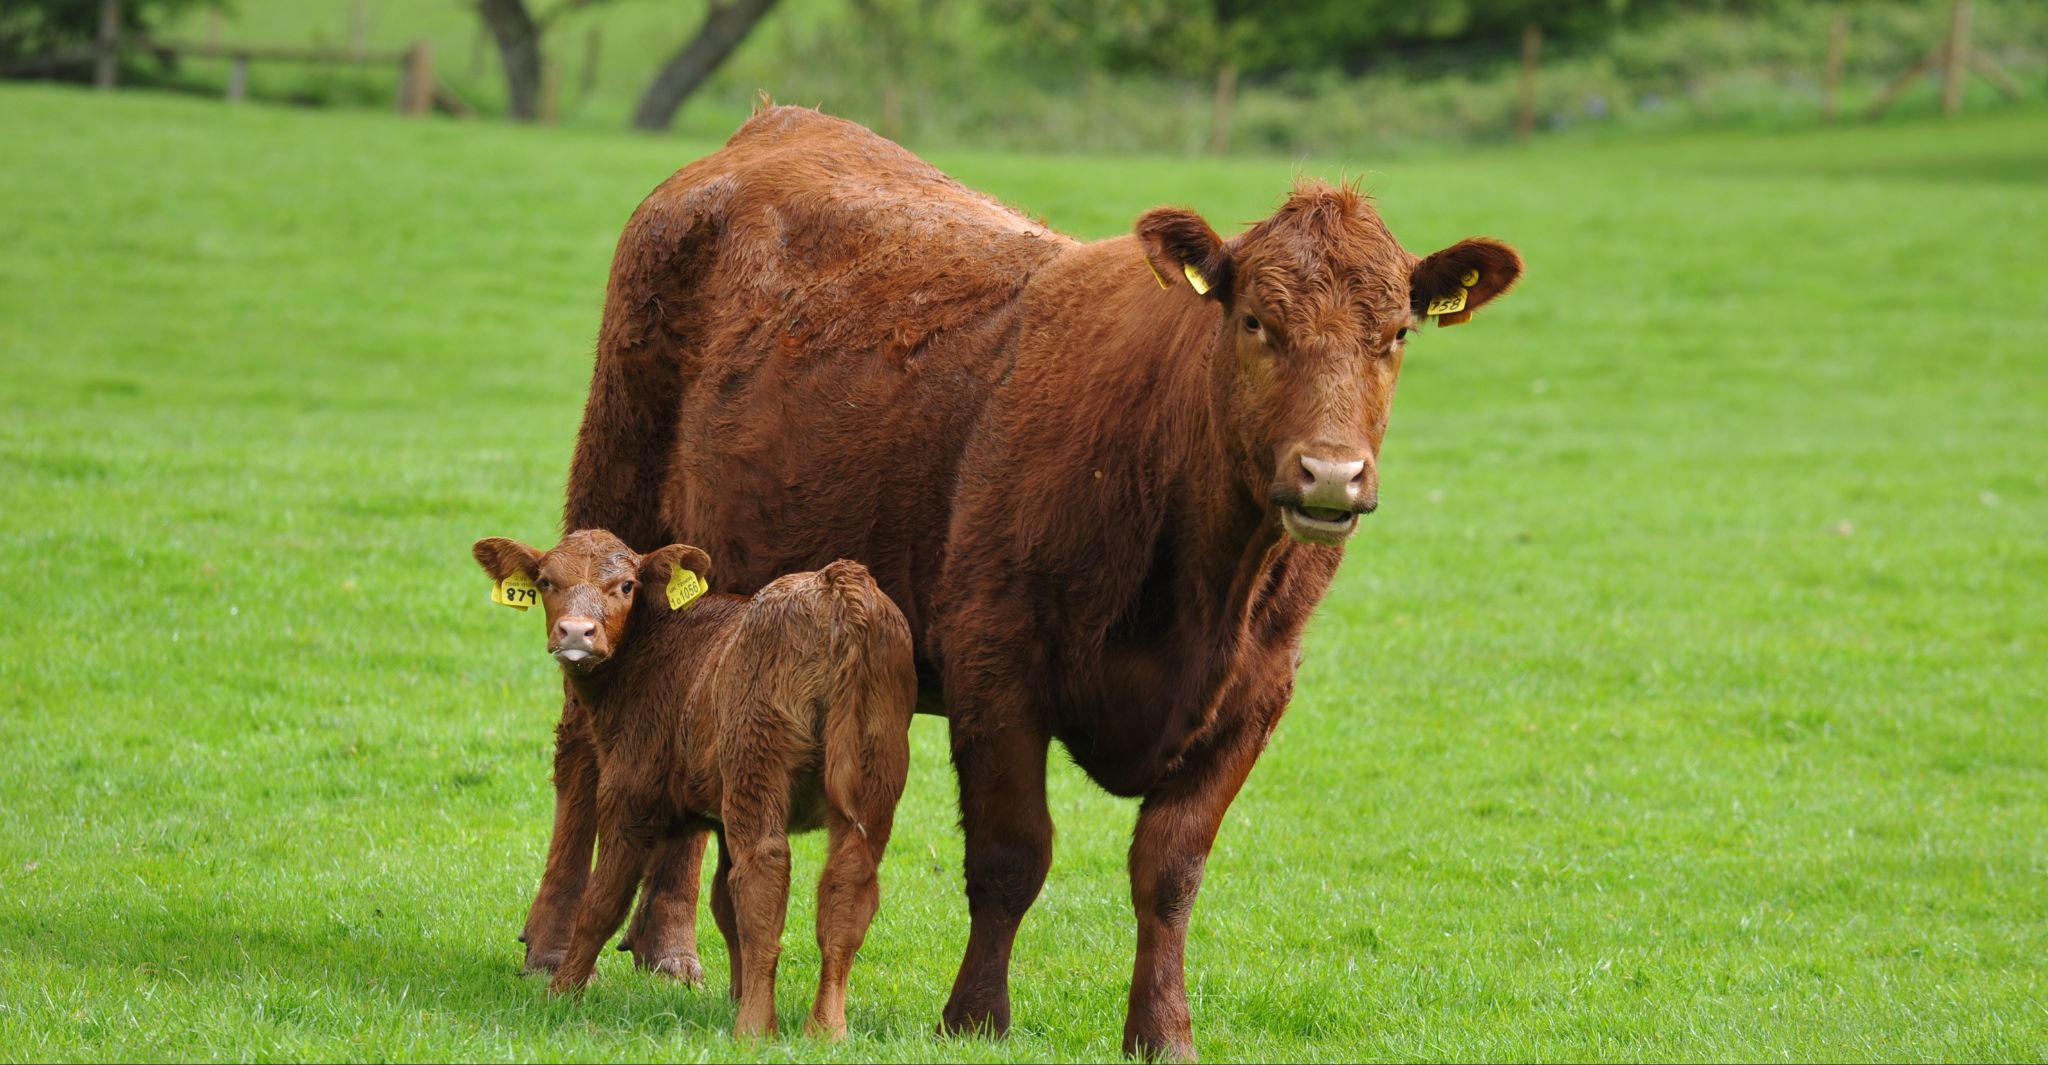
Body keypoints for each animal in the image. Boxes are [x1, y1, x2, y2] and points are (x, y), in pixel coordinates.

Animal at [518, 104, 1522, 1059]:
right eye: (1255, 323)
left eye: (1395, 335)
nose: (1330, 474)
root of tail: (770, 127)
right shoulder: (997, 666)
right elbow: (1011, 854)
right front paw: (975, 1015)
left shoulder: (1255, 695)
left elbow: (1171, 870)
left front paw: (1162, 1029)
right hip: (614, 496)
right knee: (580, 748)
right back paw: (552, 937)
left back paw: (668, 947)